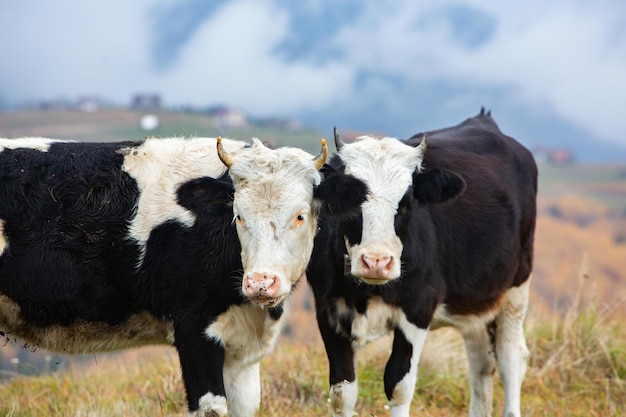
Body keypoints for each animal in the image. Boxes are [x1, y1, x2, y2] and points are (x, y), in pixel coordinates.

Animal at [0, 135, 366, 414]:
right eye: (239, 215)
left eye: (300, 215)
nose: (260, 283)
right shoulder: (194, 331)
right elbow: (211, 408)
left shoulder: (242, 351)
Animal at [308, 108, 536, 416]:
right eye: (351, 201)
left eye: (406, 203)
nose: (376, 262)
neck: (366, 292)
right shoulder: (326, 309)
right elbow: (342, 392)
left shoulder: (417, 308)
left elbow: (398, 385)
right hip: (475, 303)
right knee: (481, 362)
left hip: (516, 287)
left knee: (511, 358)